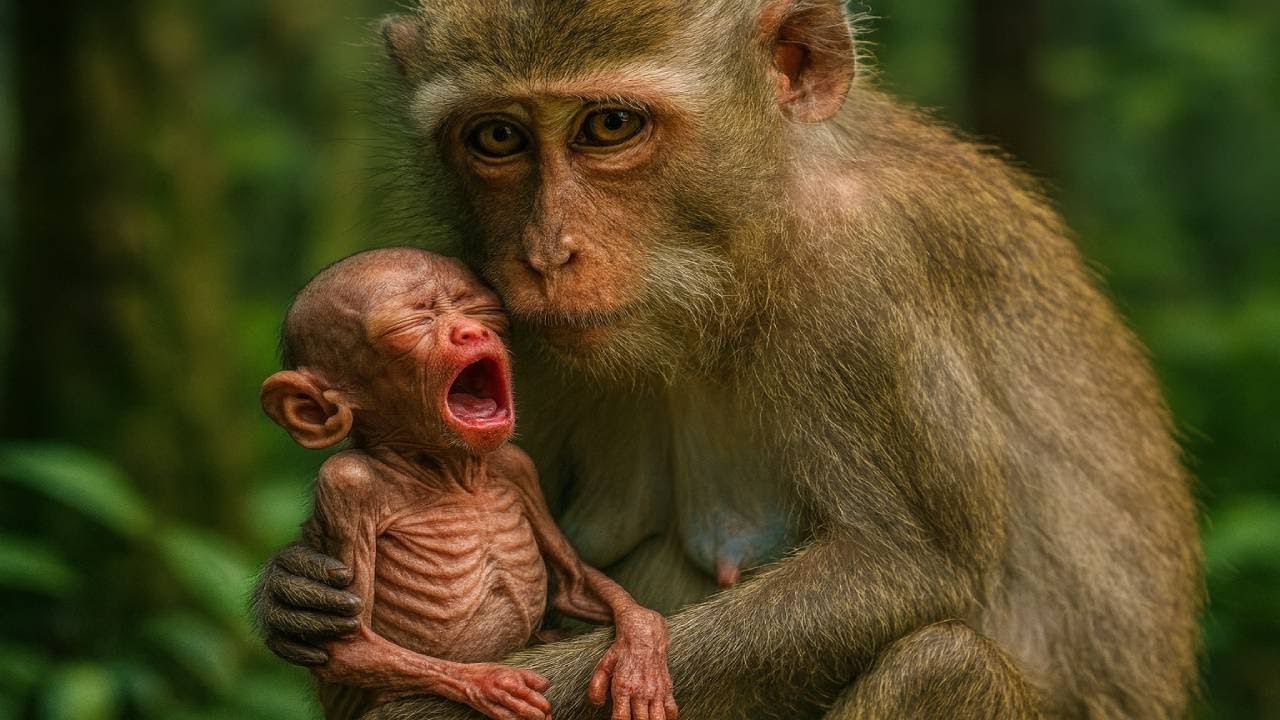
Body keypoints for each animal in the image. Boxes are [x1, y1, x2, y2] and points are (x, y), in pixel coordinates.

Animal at [259, 248, 676, 720]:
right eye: (412, 324)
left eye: (479, 309)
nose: (470, 331)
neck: (449, 473)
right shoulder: (346, 483)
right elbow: (348, 648)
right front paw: (488, 682)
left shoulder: (517, 465)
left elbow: (574, 586)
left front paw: (640, 643)